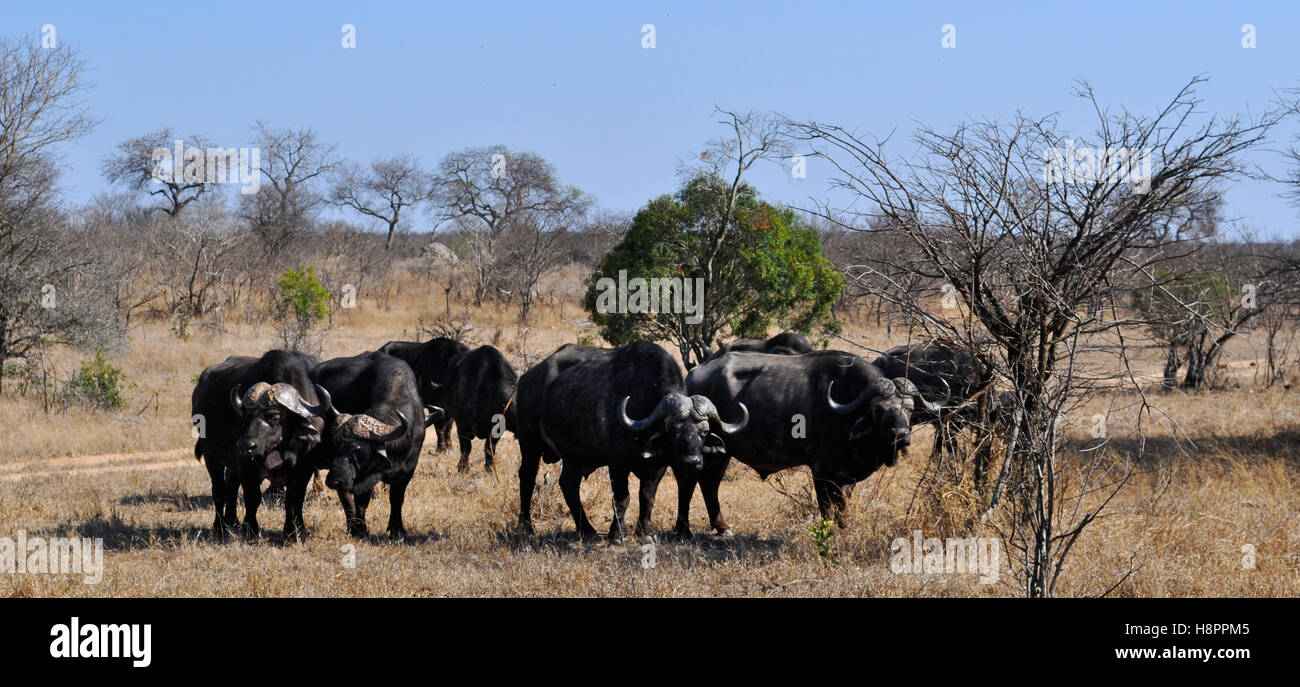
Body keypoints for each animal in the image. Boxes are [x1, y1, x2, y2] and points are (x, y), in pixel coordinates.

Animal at [191, 351, 325, 538]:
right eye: (247, 416)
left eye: (274, 416)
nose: (245, 445)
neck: (280, 448)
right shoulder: (247, 464)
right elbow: (252, 497)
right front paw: (251, 529)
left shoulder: (305, 466)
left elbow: (294, 498)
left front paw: (294, 531)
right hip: (211, 456)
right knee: (218, 490)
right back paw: (220, 527)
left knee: (231, 484)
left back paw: (232, 521)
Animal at [310, 351, 428, 538]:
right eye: (336, 446)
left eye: (358, 451)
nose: (334, 481)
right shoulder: (360, 478)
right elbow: (361, 501)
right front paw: (361, 530)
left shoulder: (408, 469)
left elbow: (397, 498)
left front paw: (397, 530)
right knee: (345, 496)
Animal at [439, 343, 514, 473]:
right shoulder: (462, 425)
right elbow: (466, 448)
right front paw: (463, 468)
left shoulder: (497, 429)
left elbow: (489, 448)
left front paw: (490, 468)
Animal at [509, 340, 748, 538]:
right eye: (672, 428)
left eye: (703, 431)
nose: (692, 462)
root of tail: (527, 379)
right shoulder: (617, 462)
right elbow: (622, 497)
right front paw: (616, 534)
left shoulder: (658, 465)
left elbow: (647, 496)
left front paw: (644, 531)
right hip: (530, 442)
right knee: (527, 477)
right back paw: (526, 527)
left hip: (575, 455)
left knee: (568, 483)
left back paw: (587, 530)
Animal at [681, 351, 946, 528]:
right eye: (879, 409)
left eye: (909, 408)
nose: (901, 435)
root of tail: (693, 375)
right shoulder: (821, 471)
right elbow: (827, 508)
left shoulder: (847, 475)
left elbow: (843, 505)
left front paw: (844, 527)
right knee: (691, 481)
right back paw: (687, 529)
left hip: (722, 451)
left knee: (710, 483)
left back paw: (721, 527)